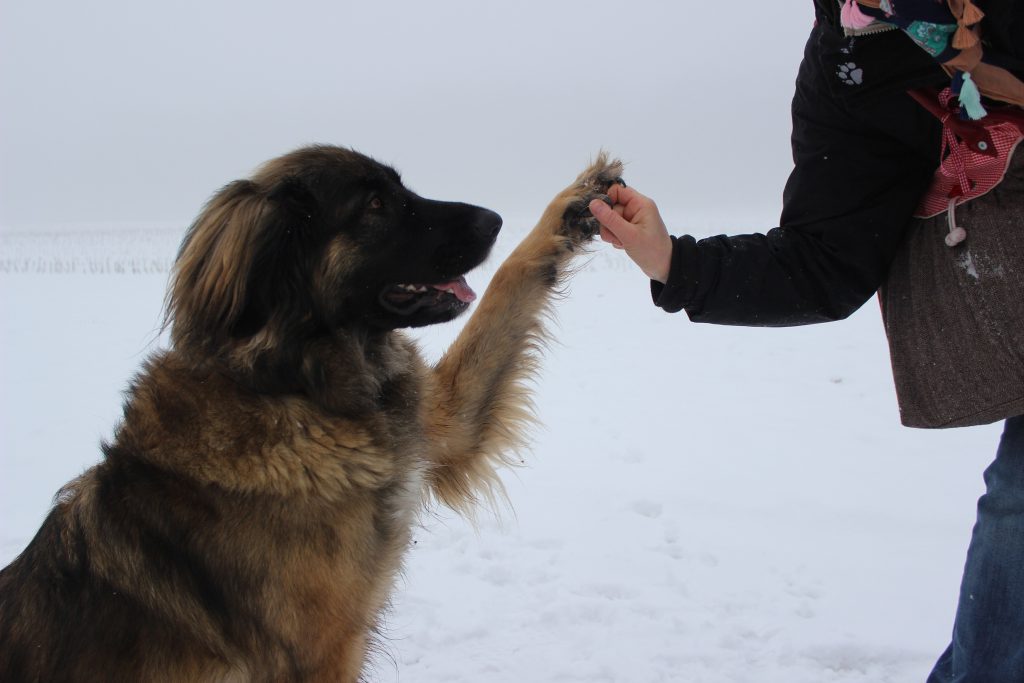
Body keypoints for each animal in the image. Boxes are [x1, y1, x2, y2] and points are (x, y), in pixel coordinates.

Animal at [0, 145, 622, 683]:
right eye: (374, 205)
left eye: (400, 189)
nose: (494, 219)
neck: (300, 392)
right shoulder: (322, 654)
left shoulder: (444, 424)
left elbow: (508, 282)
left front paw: (577, 203)